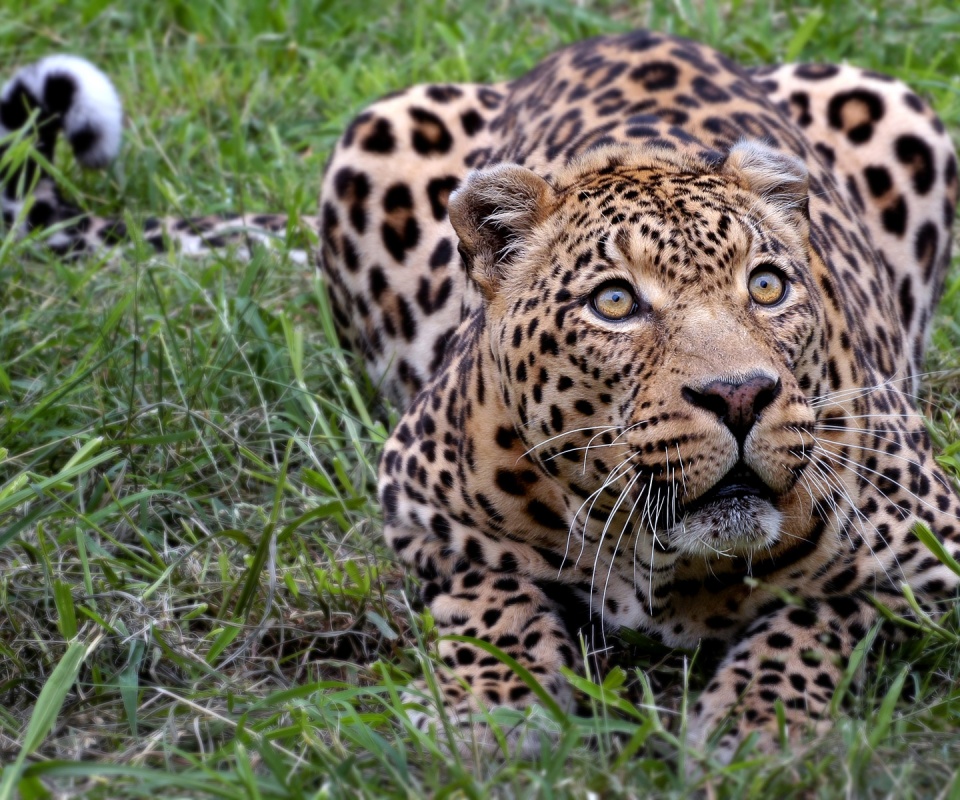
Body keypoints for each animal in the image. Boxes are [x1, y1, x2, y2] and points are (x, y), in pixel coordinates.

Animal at [2, 30, 958, 762]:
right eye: (616, 302)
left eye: (766, 286)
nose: (741, 395)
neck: (661, 562)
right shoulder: (417, 502)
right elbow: (488, 592)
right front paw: (489, 711)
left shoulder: (930, 551)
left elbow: (819, 611)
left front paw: (761, 724)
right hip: (377, 131)